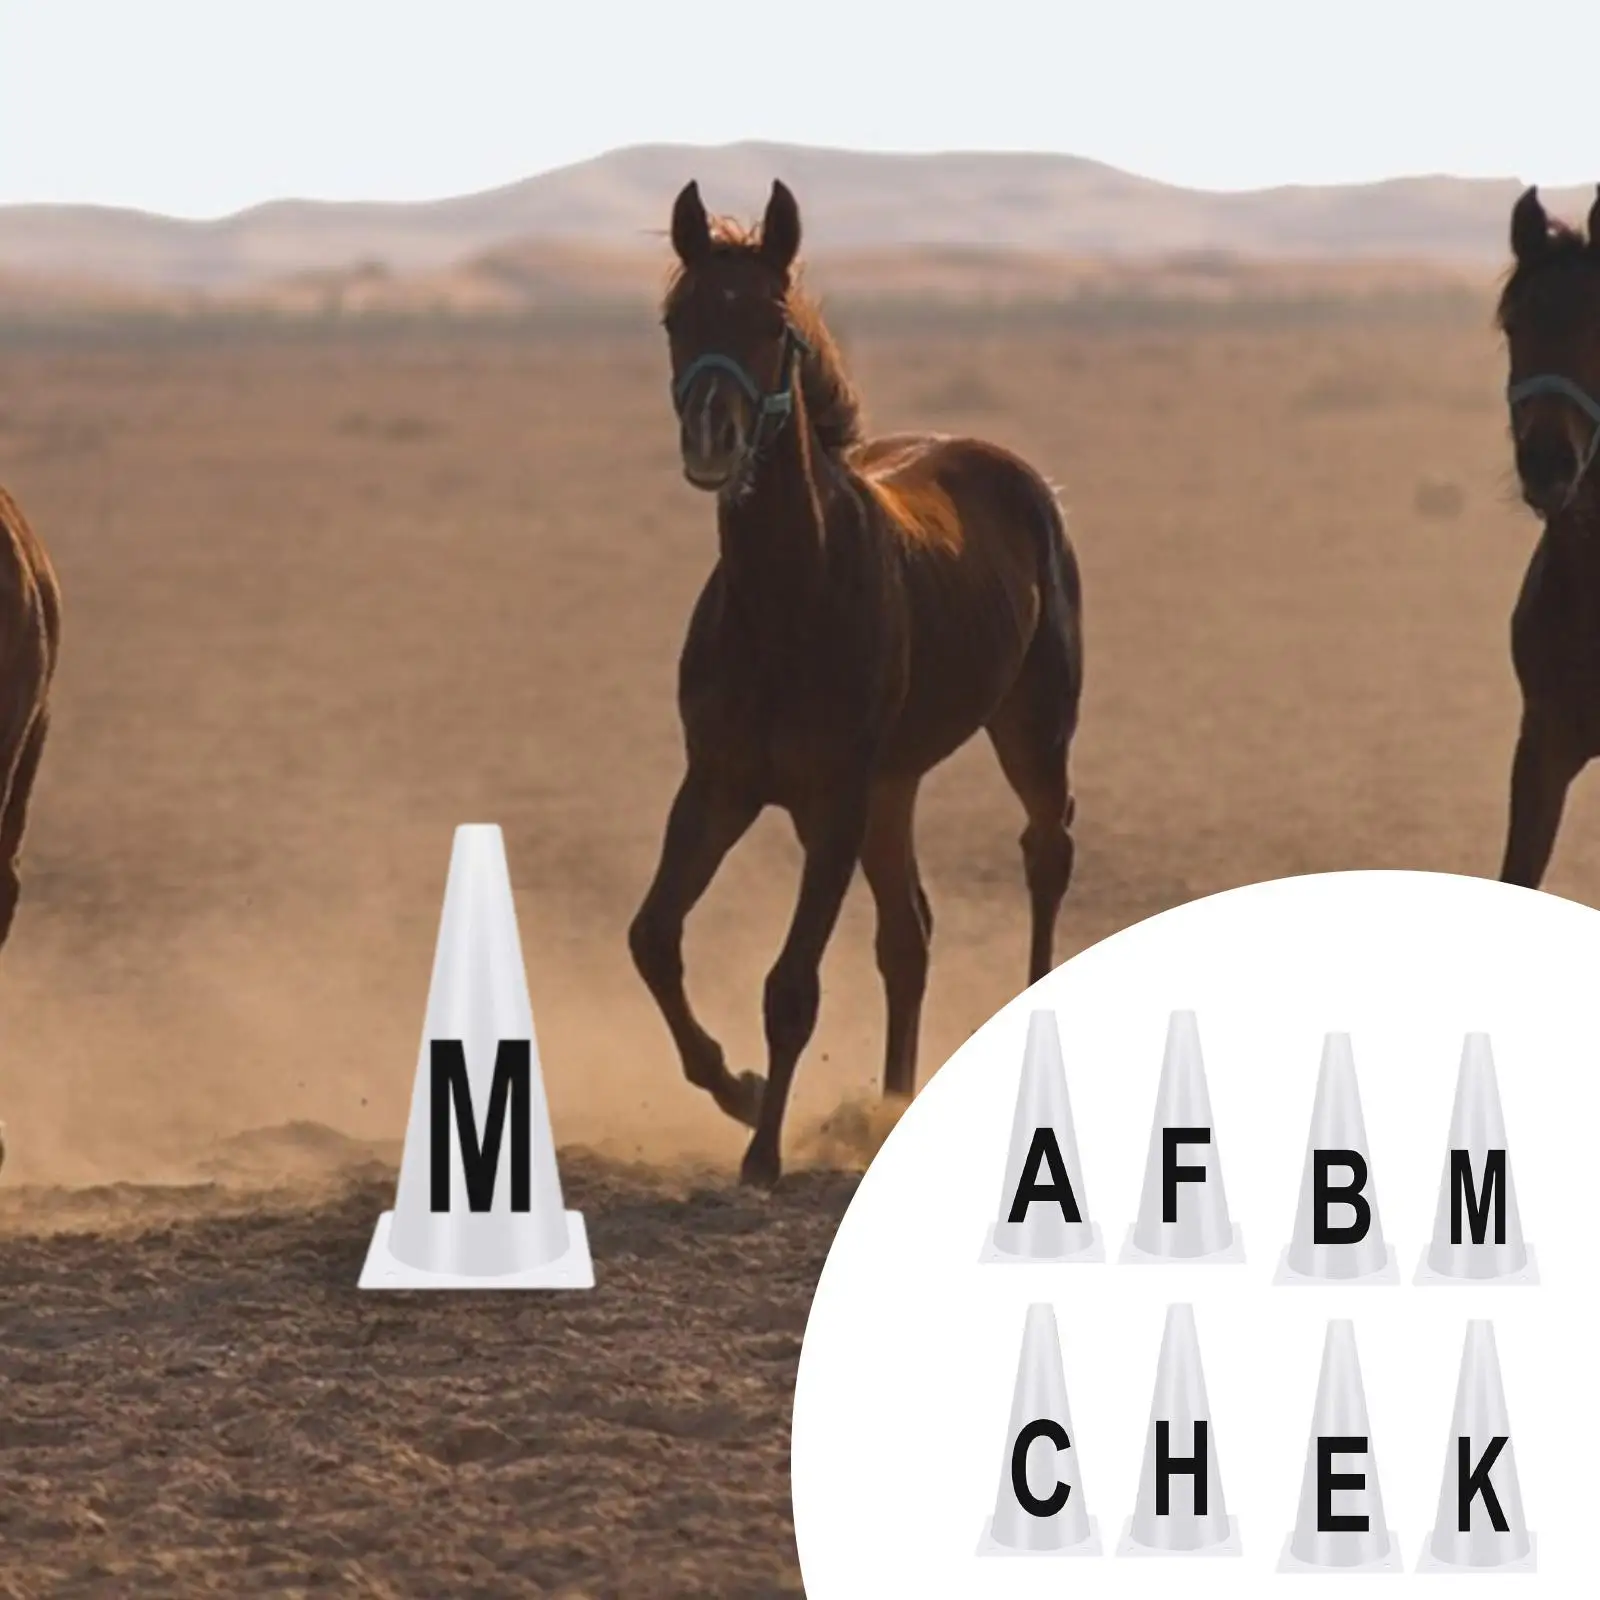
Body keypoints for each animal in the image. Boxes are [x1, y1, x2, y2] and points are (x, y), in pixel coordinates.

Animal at [627, 179, 1083, 1187]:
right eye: (678, 318)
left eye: (774, 321)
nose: (713, 438)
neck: (788, 601)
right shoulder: (720, 785)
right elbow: (653, 939)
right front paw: (738, 1087)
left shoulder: (830, 798)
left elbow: (792, 985)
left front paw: (762, 1154)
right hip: (894, 786)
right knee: (907, 936)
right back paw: (893, 1102)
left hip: (1029, 730)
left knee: (1046, 849)